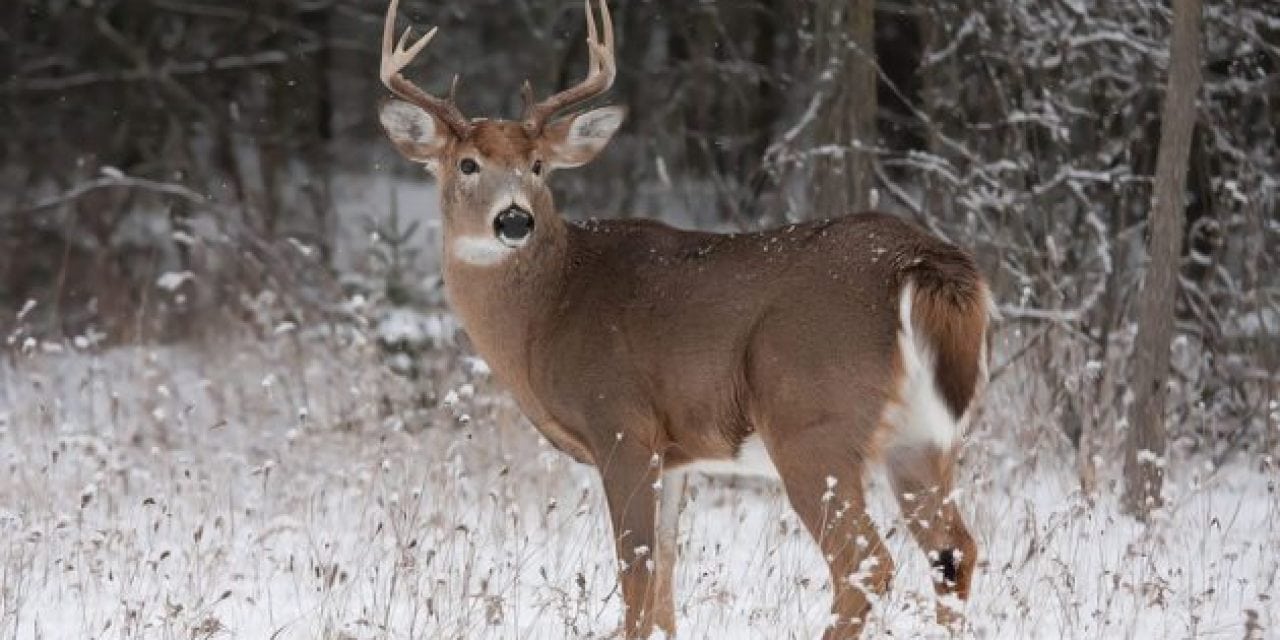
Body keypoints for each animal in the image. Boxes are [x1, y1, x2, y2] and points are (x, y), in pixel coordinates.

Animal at [373, 2, 993, 637]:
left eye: (538, 165)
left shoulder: (621, 425)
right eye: (467, 163)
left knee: (866, 562)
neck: (547, 313)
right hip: (922, 436)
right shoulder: (673, 453)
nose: (515, 220)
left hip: (813, 423)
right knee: (954, 550)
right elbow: (667, 574)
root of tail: (919, 262)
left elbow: (637, 573)